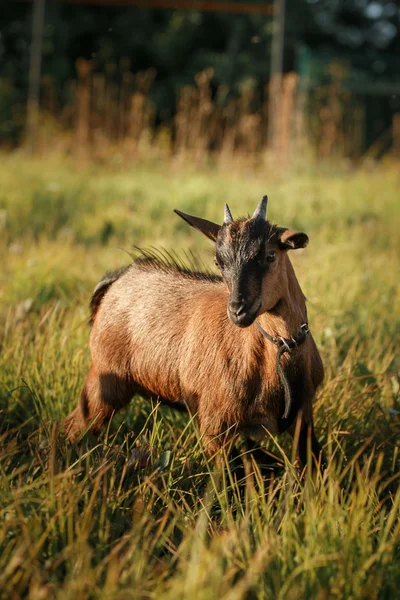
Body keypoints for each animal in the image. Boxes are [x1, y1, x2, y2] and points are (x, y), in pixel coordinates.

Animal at [64, 197, 324, 464]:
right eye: (219, 262)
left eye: (271, 255)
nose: (237, 310)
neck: (281, 351)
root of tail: (117, 281)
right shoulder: (214, 426)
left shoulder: (303, 417)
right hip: (104, 383)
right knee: (73, 427)